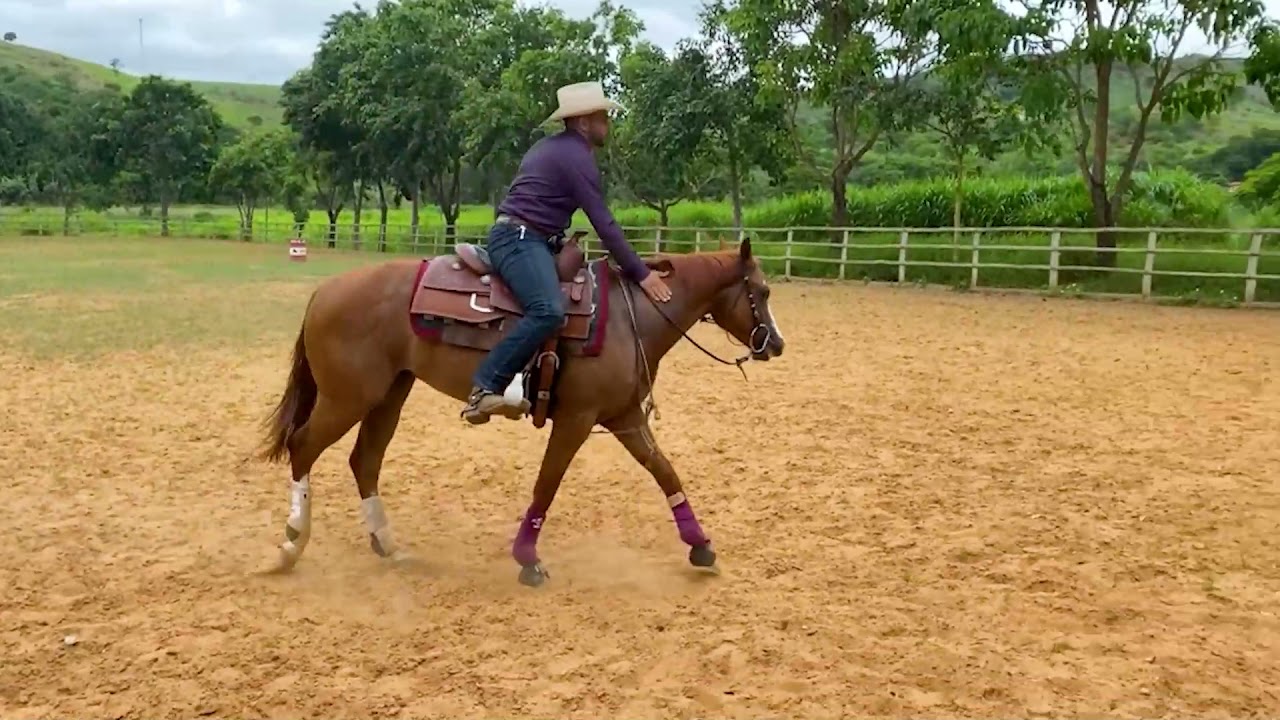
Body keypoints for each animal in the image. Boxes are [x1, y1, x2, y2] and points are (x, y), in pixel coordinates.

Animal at [255, 235, 785, 586]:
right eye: (761, 292)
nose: (776, 344)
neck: (631, 314)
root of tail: (324, 292)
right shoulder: (577, 419)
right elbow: (547, 484)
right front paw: (527, 558)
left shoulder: (625, 418)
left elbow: (665, 472)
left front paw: (701, 547)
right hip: (347, 397)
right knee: (303, 447)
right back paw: (290, 545)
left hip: (389, 393)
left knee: (364, 459)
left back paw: (388, 544)